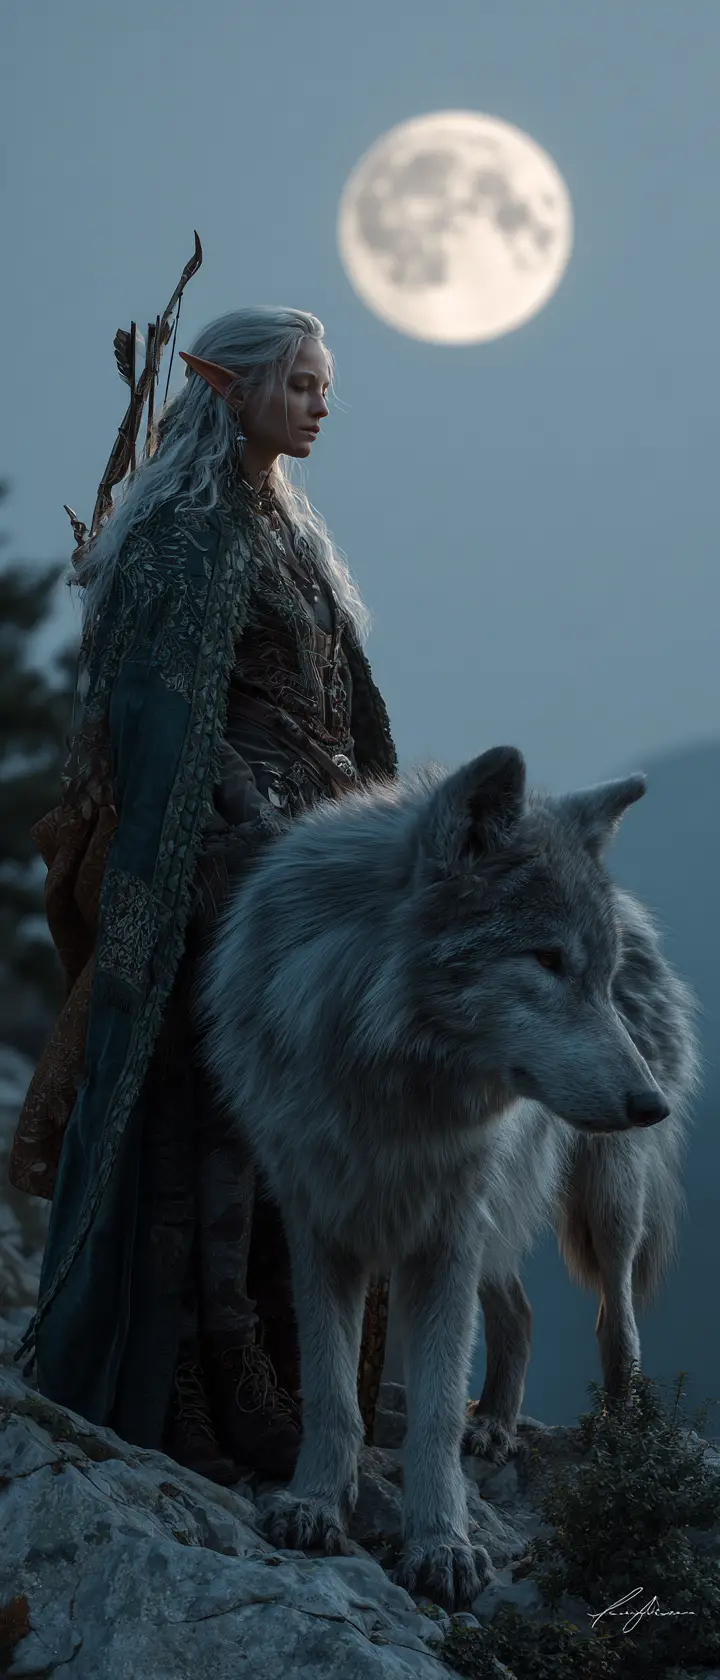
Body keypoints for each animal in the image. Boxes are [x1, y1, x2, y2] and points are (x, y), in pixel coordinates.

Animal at [199, 746, 694, 1612]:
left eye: (597, 978)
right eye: (546, 960)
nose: (650, 1105)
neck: (383, 1084)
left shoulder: (446, 1238)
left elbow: (432, 1412)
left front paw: (441, 1544)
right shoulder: (319, 1225)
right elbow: (331, 1392)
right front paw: (314, 1502)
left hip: (599, 1205)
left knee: (616, 1318)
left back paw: (622, 1436)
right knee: (521, 1312)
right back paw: (494, 1423)